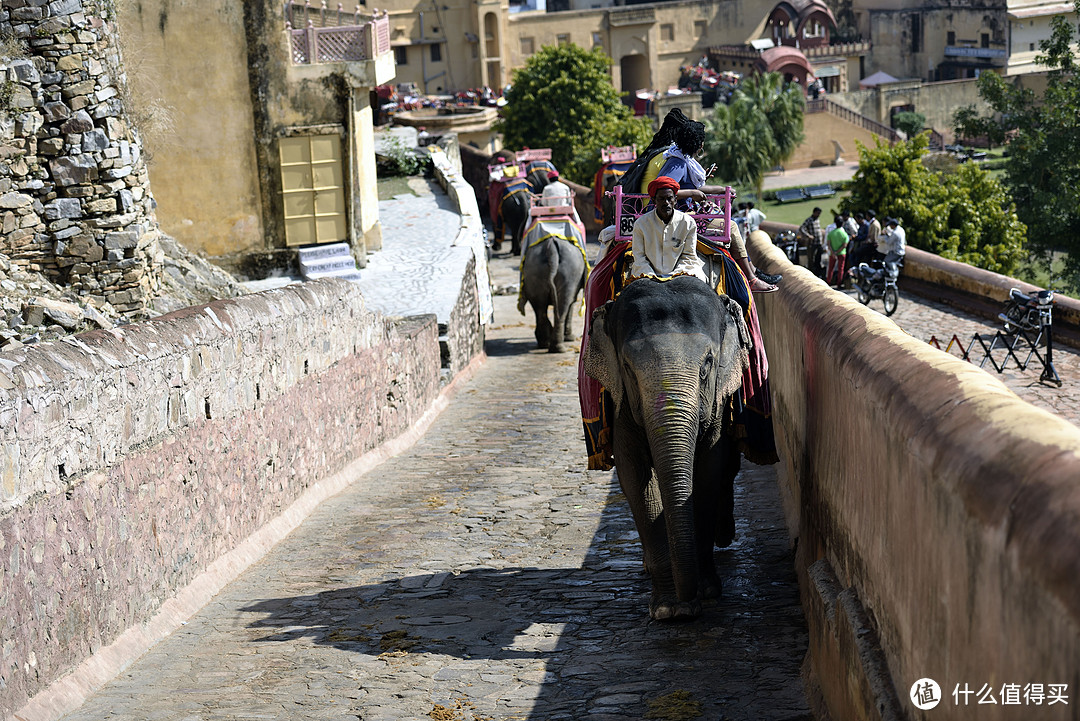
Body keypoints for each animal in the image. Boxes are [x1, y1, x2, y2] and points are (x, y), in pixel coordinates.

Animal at [518, 220, 587, 354]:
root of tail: (552, 249)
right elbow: (572, 302)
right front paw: (569, 338)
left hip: (535, 272)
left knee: (540, 307)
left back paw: (547, 344)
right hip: (570, 272)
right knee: (563, 305)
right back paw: (557, 347)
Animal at [583, 276, 751, 621]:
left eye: (708, 363)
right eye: (627, 367)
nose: (688, 602)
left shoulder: (717, 402)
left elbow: (708, 472)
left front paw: (705, 593)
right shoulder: (621, 405)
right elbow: (634, 477)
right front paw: (668, 608)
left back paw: (724, 535)